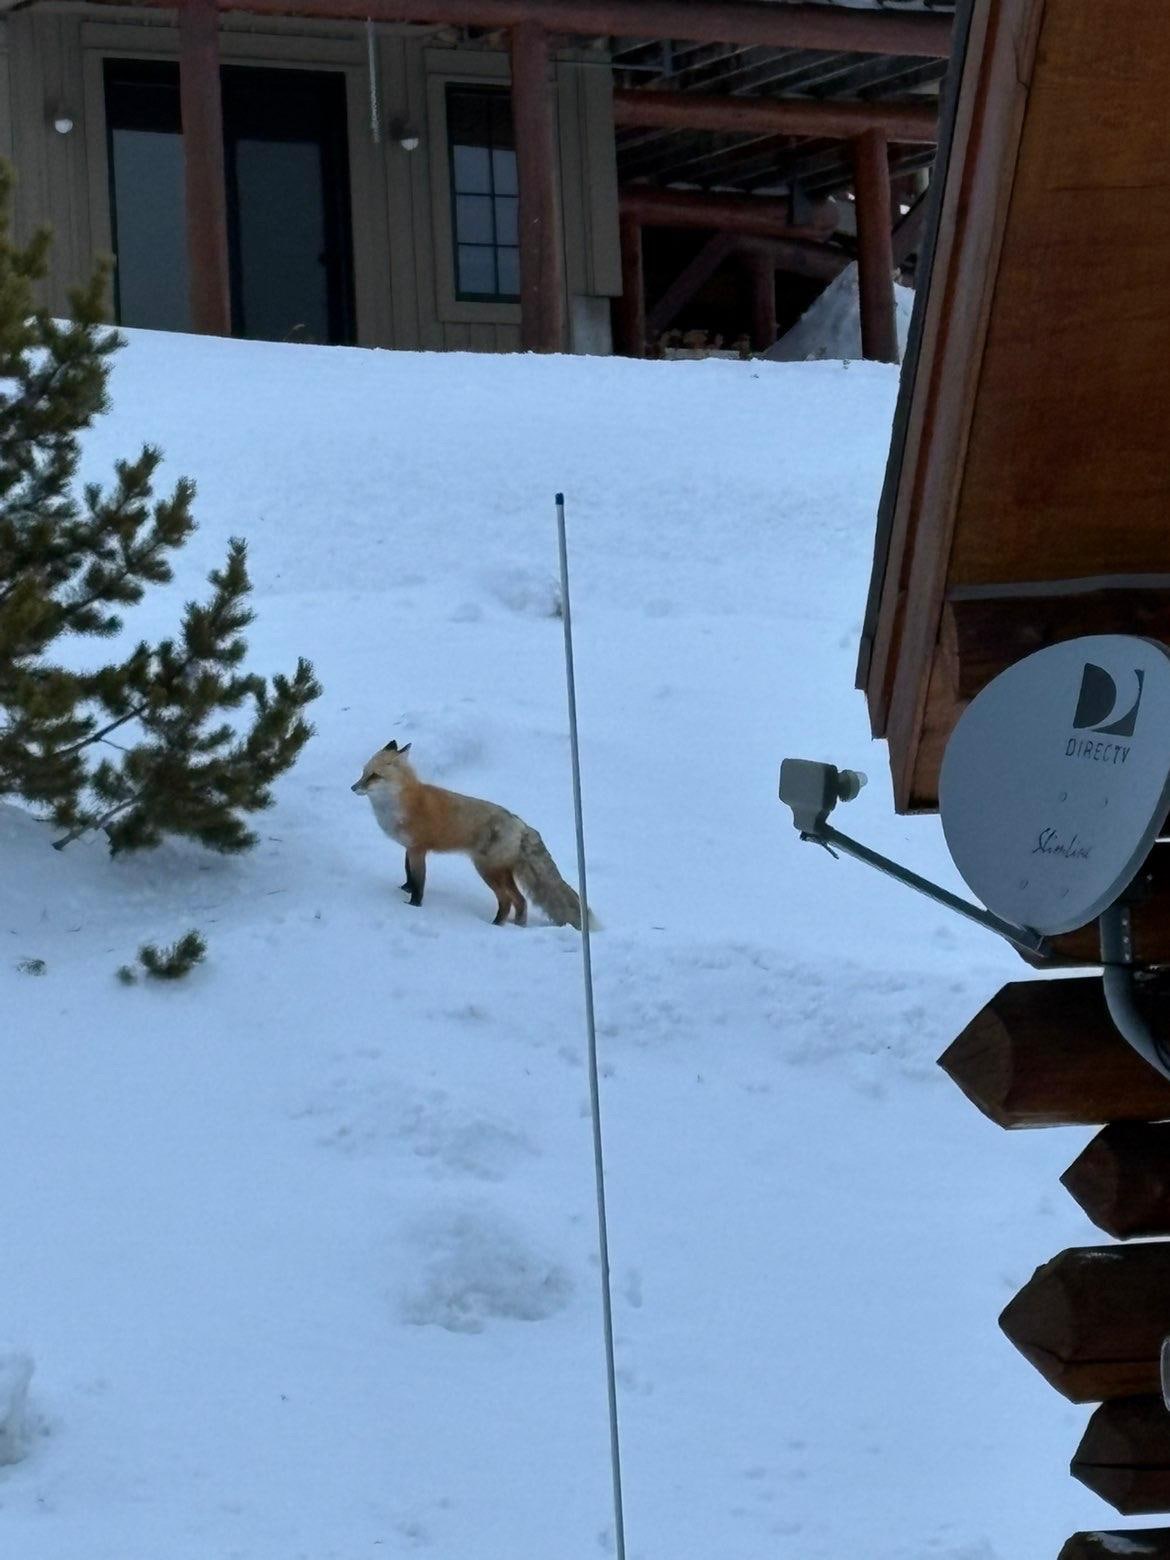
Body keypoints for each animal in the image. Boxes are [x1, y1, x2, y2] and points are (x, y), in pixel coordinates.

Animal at [351, 740, 591, 930]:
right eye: (363, 773)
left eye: (374, 776)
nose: (353, 787)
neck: (400, 805)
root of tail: (520, 823)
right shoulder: (409, 849)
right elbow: (408, 873)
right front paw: (404, 889)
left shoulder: (418, 849)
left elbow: (419, 882)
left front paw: (413, 905)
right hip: (500, 872)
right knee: (521, 901)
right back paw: (517, 926)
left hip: (488, 871)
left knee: (508, 900)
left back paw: (495, 925)